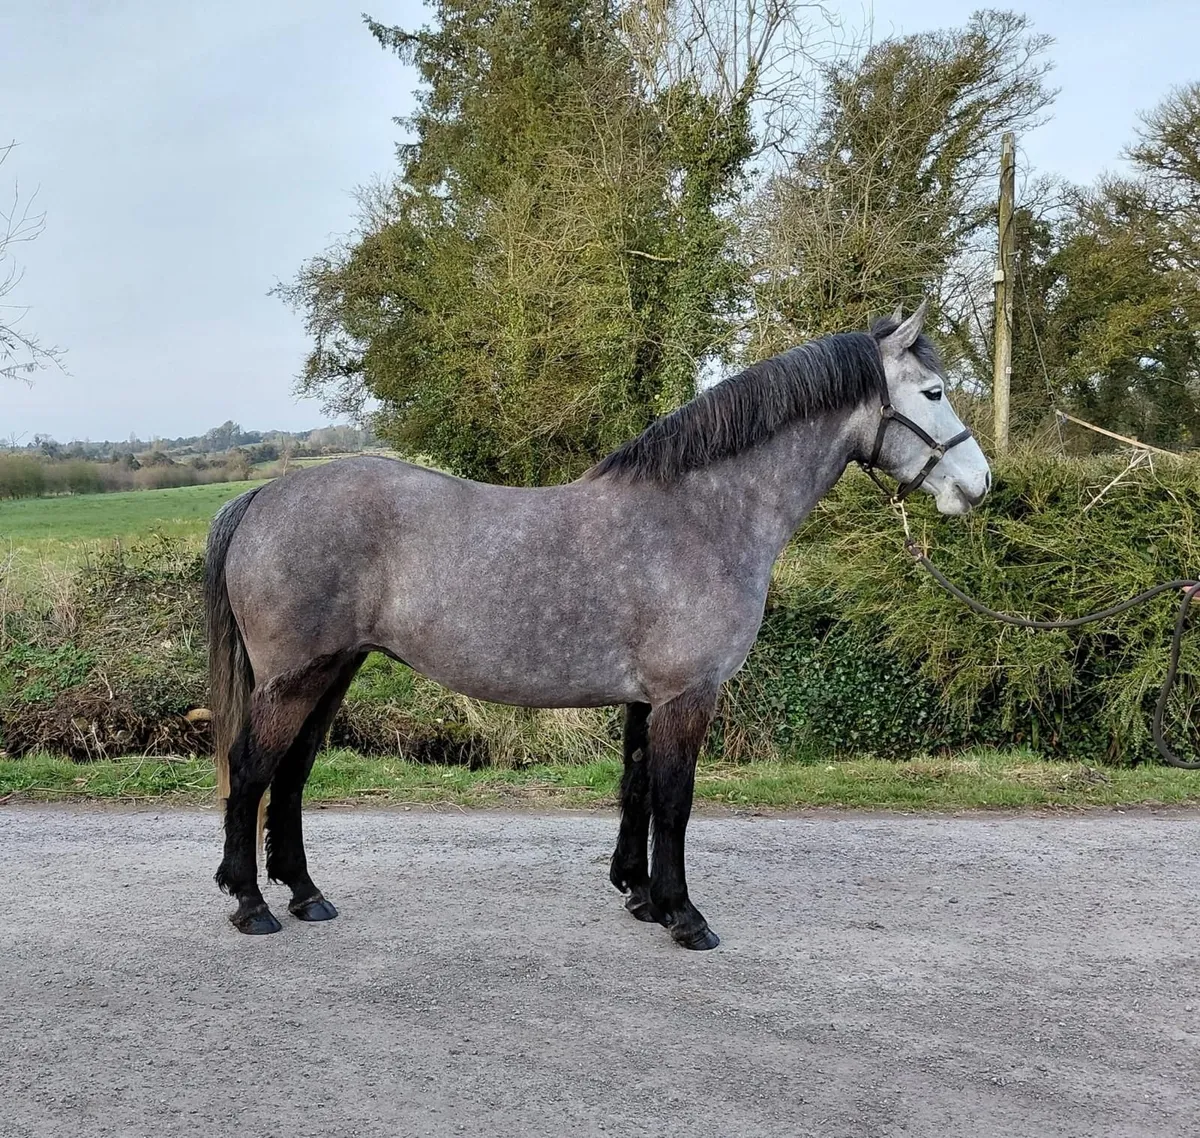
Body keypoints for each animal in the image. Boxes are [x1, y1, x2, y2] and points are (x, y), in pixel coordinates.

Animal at [205, 300, 991, 949]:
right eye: (933, 393)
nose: (979, 485)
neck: (701, 516)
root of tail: (262, 496)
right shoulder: (687, 695)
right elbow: (674, 800)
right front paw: (684, 915)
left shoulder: (647, 699)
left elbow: (636, 789)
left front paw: (639, 895)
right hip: (294, 677)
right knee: (252, 768)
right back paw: (251, 903)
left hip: (334, 669)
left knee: (292, 774)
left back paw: (305, 894)